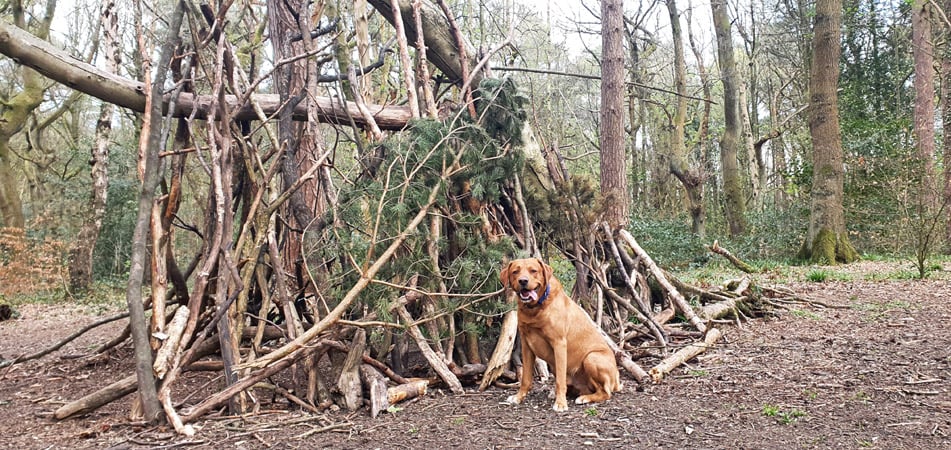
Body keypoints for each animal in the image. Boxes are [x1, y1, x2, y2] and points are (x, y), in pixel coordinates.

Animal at [501, 258, 622, 412]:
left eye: (533, 271)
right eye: (515, 272)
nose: (523, 281)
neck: (535, 309)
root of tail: (616, 379)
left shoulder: (559, 344)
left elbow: (559, 380)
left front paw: (560, 403)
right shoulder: (526, 346)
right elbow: (526, 379)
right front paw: (518, 397)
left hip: (591, 358)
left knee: (605, 392)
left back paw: (584, 398)